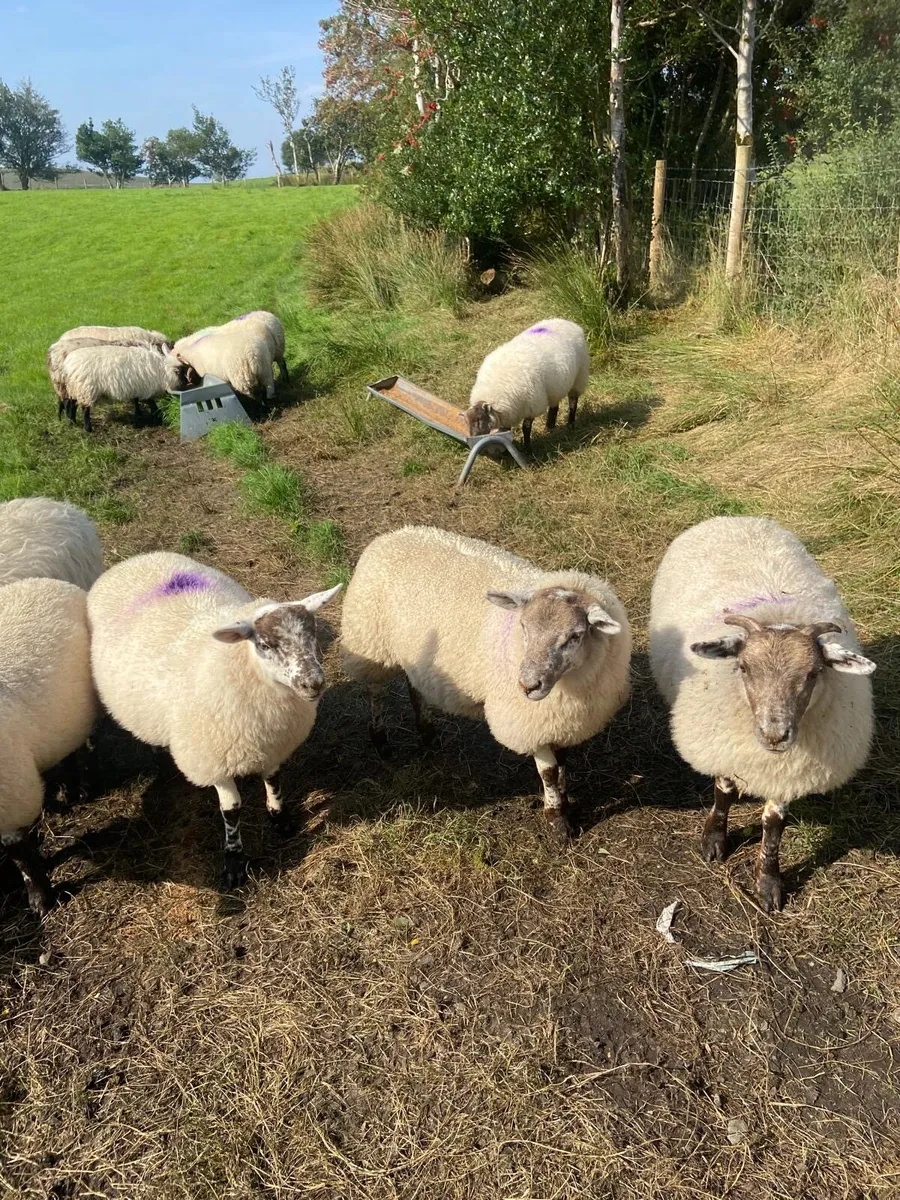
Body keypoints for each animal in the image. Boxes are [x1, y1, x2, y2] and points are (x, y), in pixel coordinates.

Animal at [59, 344, 197, 431]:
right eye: (183, 371)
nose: (188, 385)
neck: (162, 370)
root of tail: (68, 364)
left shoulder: (137, 388)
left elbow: (136, 401)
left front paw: (138, 414)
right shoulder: (147, 388)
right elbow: (151, 403)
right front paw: (158, 416)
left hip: (75, 388)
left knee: (71, 405)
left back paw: (72, 422)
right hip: (86, 389)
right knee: (84, 409)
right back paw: (88, 429)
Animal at [87, 552, 342, 888]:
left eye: (312, 635)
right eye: (264, 645)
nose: (313, 683)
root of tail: (136, 559)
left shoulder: (272, 743)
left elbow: (274, 781)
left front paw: (280, 819)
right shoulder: (212, 760)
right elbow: (232, 810)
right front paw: (233, 861)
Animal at [340, 526, 631, 839]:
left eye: (575, 635)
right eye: (524, 627)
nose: (528, 686)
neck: (566, 687)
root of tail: (394, 534)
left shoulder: (559, 719)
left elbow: (562, 763)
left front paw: (565, 805)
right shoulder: (528, 721)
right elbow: (549, 772)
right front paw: (557, 823)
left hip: (415, 653)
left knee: (415, 688)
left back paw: (428, 734)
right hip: (370, 643)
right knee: (374, 691)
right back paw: (380, 740)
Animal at [464, 318, 590, 451]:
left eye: (479, 420)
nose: (473, 439)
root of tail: (568, 322)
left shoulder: (532, 405)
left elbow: (526, 428)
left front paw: (528, 448)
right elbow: (506, 430)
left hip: (579, 377)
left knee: (573, 402)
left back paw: (570, 424)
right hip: (555, 388)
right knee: (554, 406)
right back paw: (549, 427)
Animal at [648, 515, 876, 912]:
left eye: (814, 673)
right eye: (743, 667)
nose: (775, 734)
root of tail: (732, 517)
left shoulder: (789, 769)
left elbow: (774, 825)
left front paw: (768, 881)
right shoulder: (725, 748)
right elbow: (723, 793)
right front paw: (714, 840)